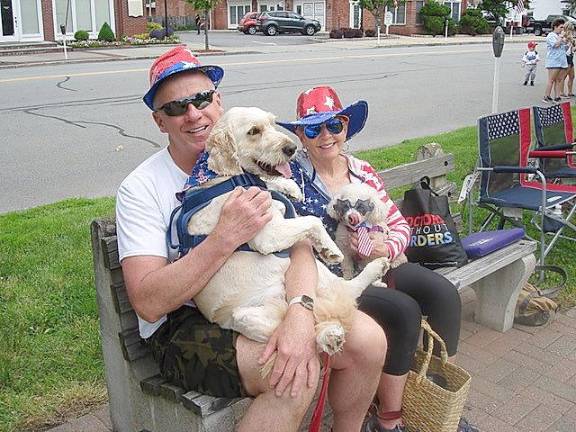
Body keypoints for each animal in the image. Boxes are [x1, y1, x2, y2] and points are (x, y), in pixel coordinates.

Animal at [187, 106, 390, 356]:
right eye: (253, 131)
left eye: (272, 123)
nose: (291, 148)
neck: (232, 178)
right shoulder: (266, 232)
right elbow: (312, 220)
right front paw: (330, 248)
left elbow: (275, 184)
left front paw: (291, 188)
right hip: (256, 310)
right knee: (334, 300)